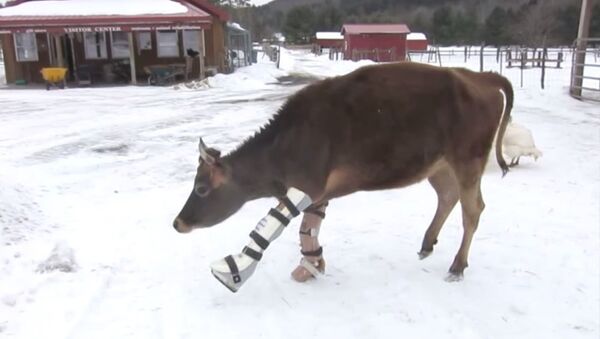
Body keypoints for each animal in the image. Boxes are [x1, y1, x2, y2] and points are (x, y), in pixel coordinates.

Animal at [172, 61, 510, 282]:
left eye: (201, 188)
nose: (177, 223)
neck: (282, 147)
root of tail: (479, 76)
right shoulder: (317, 192)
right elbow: (308, 228)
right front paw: (311, 265)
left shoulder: (307, 184)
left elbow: (273, 224)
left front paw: (237, 267)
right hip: (437, 165)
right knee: (448, 196)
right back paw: (428, 244)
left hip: (468, 159)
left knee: (473, 209)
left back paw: (458, 265)